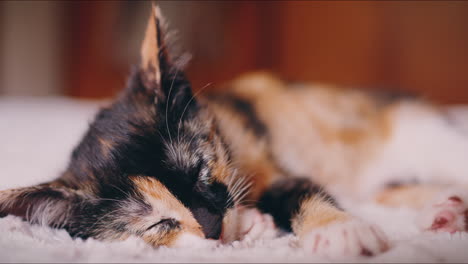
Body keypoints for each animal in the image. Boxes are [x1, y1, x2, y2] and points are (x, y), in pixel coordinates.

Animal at [0, 4, 468, 258]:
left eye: (199, 170)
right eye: (158, 224)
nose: (211, 227)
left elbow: (299, 189)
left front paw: (338, 230)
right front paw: (252, 226)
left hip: (413, 130)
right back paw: (446, 212)